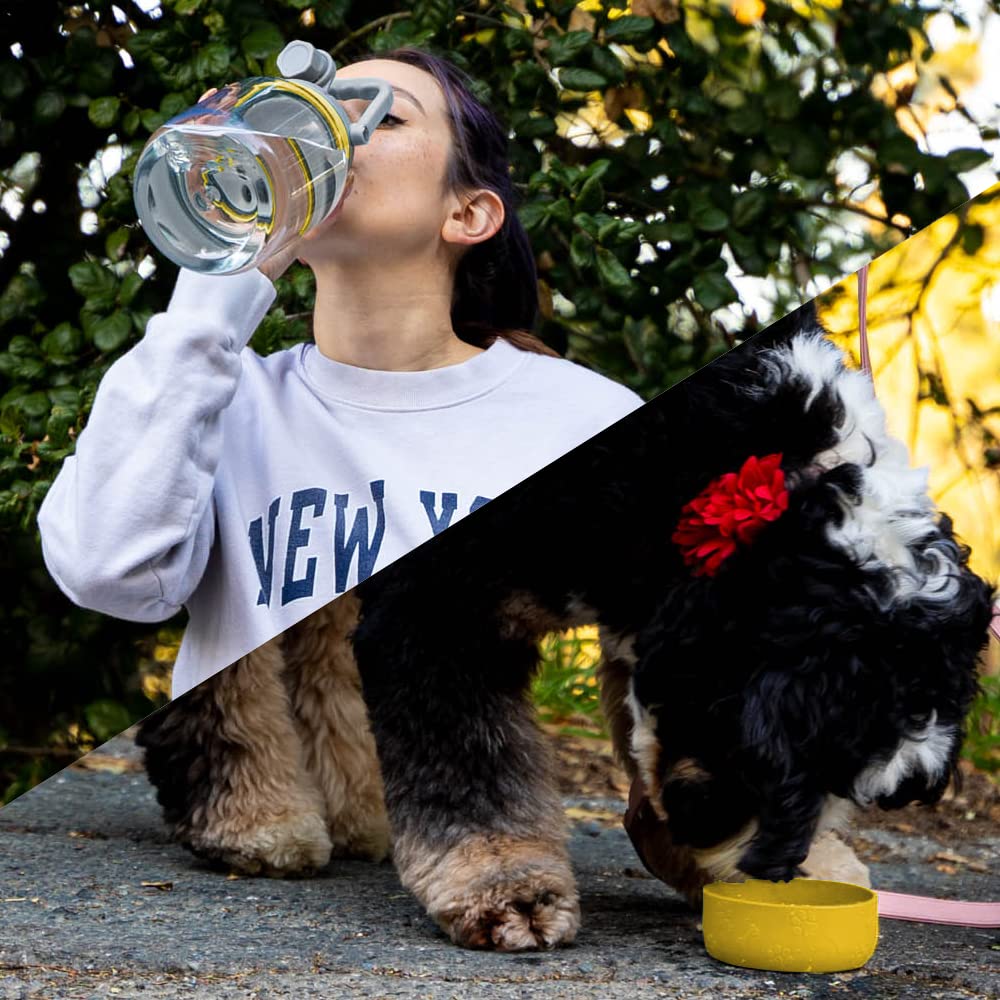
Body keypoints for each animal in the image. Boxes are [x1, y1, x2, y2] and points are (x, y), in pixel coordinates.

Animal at [137, 306, 996, 952]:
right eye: (764, 755)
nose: (769, 870)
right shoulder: (445, 603)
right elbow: (473, 768)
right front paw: (505, 886)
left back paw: (351, 817)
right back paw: (255, 822)